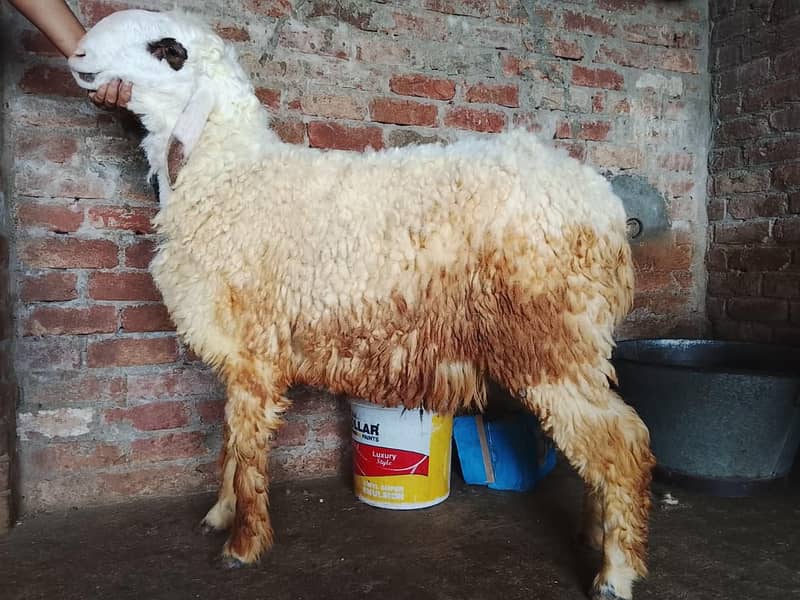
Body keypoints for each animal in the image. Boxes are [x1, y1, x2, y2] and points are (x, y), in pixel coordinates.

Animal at [68, 9, 656, 600]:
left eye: (167, 49)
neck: (230, 176)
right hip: (571, 342)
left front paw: (243, 545)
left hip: (552, 338)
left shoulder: (256, 349)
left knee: (622, 444)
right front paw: (220, 514)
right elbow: (231, 443)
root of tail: (603, 205)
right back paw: (594, 533)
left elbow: (248, 449)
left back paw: (615, 573)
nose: (76, 54)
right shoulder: (238, 354)